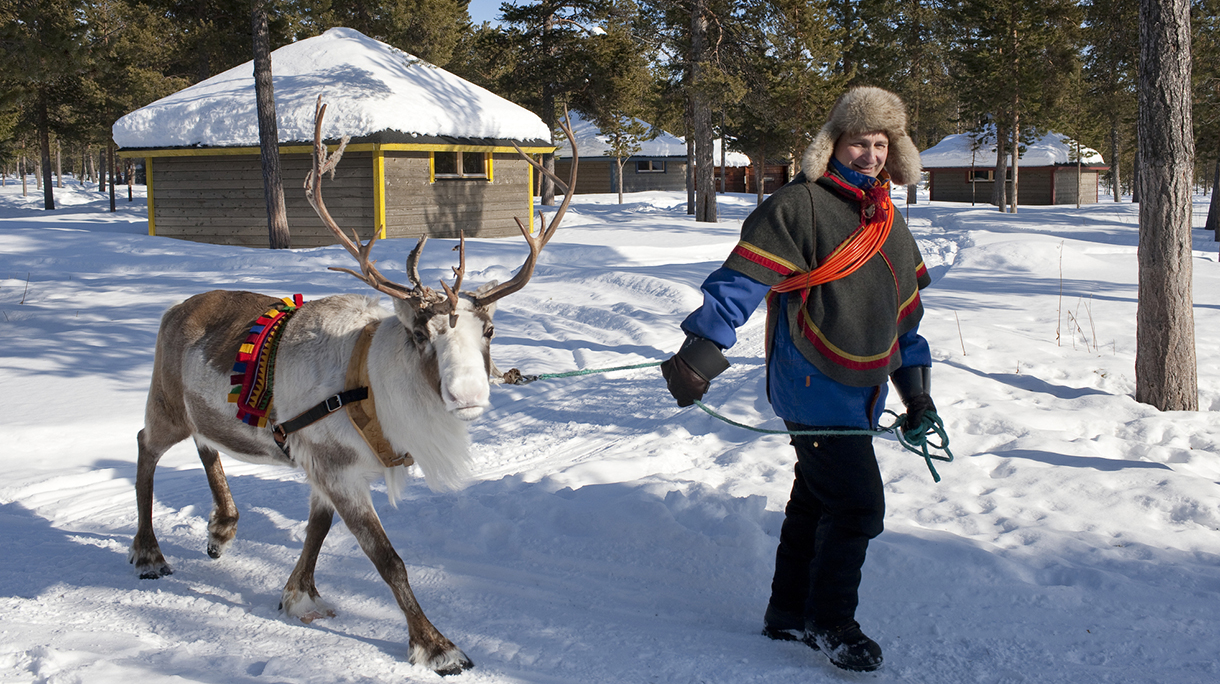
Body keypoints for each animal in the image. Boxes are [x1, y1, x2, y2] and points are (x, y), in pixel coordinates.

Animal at [127, 98, 577, 676]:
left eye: (491, 331)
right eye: (420, 334)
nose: (469, 397)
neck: (371, 386)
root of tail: (174, 310)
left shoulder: (325, 468)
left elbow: (316, 531)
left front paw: (298, 595)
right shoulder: (335, 468)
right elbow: (389, 560)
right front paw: (437, 646)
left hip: (201, 412)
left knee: (208, 445)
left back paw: (222, 528)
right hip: (165, 404)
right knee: (145, 448)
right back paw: (149, 553)